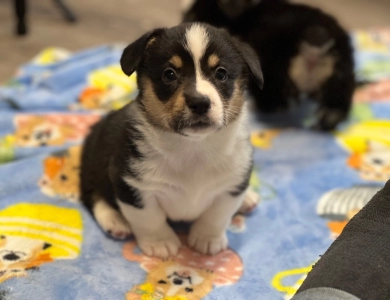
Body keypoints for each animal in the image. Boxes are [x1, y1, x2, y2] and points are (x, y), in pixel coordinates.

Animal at [79, 22, 264, 258]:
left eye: (221, 73)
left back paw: (248, 199)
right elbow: (149, 219)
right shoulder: (132, 185)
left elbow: (217, 216)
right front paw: (161, 244)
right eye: (169, 74)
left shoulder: (231, 185)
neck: (194, 147)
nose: (199, 103)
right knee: (94, 196)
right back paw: (115, 221)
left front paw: (207, 240)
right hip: (94, 165)